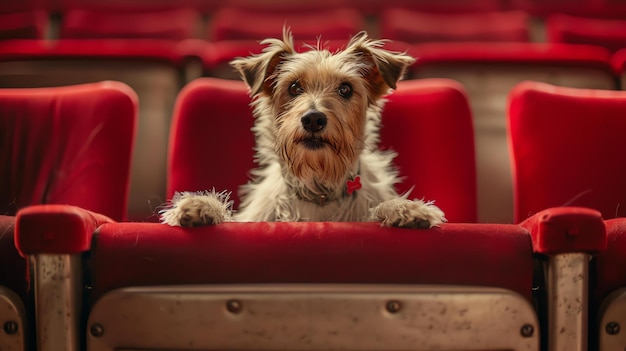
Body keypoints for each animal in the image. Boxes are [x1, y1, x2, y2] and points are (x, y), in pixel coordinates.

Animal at [160, 29, 444, 228]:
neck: (318, 193)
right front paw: (202, 206)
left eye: (345, 89)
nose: (313, 119)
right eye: (294, 87)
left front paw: (404, 209)